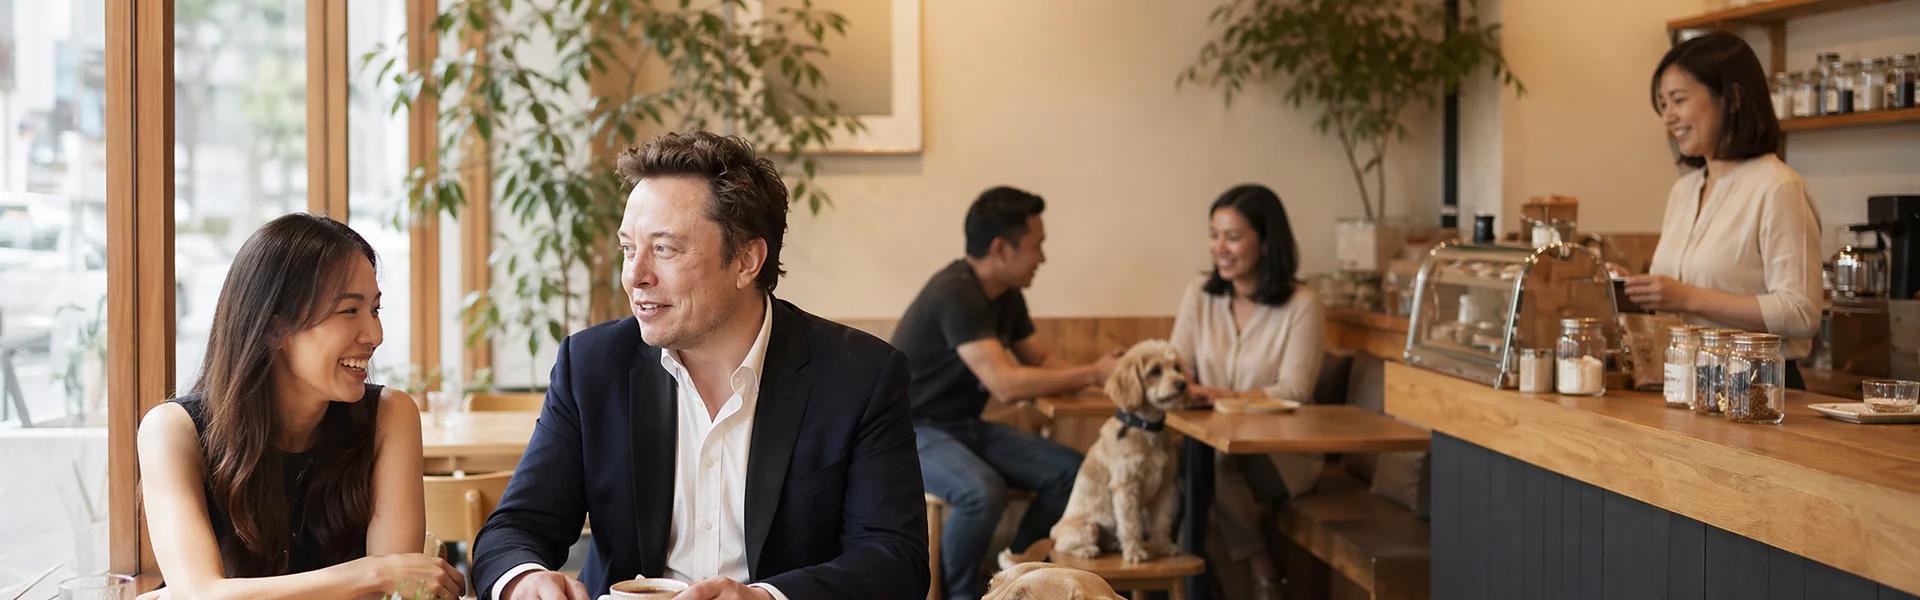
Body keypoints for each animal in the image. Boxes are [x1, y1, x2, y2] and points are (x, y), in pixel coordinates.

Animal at [1049, 339, 1188, 564]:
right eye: (1155, 371)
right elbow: (1131, 523)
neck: (1145, 429)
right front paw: (1134, 552)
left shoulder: (1165, 486)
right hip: (1087, 528)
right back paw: (1086, 550)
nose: (1182, 384)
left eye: (1176, 367)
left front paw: (1164, 547)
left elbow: (1162, 522)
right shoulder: (1126, 485)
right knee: (1061, 546)